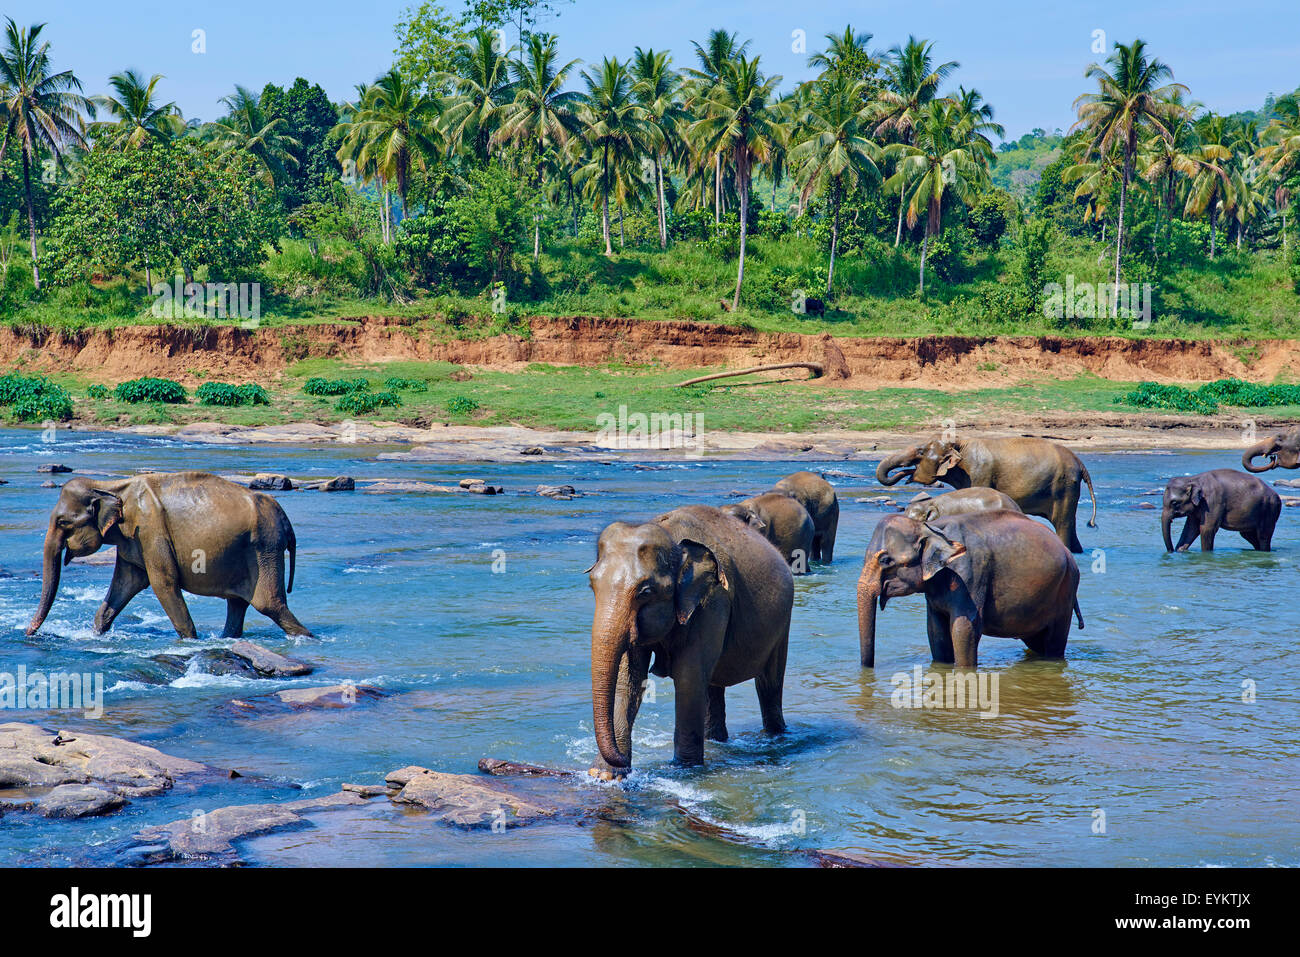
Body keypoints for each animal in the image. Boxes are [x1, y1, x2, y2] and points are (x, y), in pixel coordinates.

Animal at [26, 471, 310, 641]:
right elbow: (124, 585)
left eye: (62, 522)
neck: (108, 487)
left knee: (269, 605)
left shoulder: (150, 531)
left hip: (265, 547)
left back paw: (308, 638)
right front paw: (96, 634)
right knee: (238, 604)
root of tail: (286, 520)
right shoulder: (132, 542)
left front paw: (190, 641)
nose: (29, 633)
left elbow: (163, 583)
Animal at [587, 504, 794, 772]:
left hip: (783, 623)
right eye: (592, 585)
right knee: (713, 685)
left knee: (768, 683)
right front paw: (606, 773)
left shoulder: (712, 600)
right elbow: (629, 677)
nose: (623, 760)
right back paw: (716, 740)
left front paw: (685, 769)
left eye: (645, 592)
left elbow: (689, 677)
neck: (671, 537)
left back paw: (776, 737)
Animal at [857, 511, 1083, 668]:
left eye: (886, 560)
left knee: (1054, 641)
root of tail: (1067, 552)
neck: (930, 528)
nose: (869, 669)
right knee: (1036, 641)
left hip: (1066, 589)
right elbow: (935, 630)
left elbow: (965, 627)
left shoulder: (970, 574)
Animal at [876, 436, 1097, 553]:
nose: (906, 474)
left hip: (1064, 486)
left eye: (920, 452)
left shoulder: (979, 472)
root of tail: (1080, 463)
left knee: (1062, 524)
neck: (959, 442)